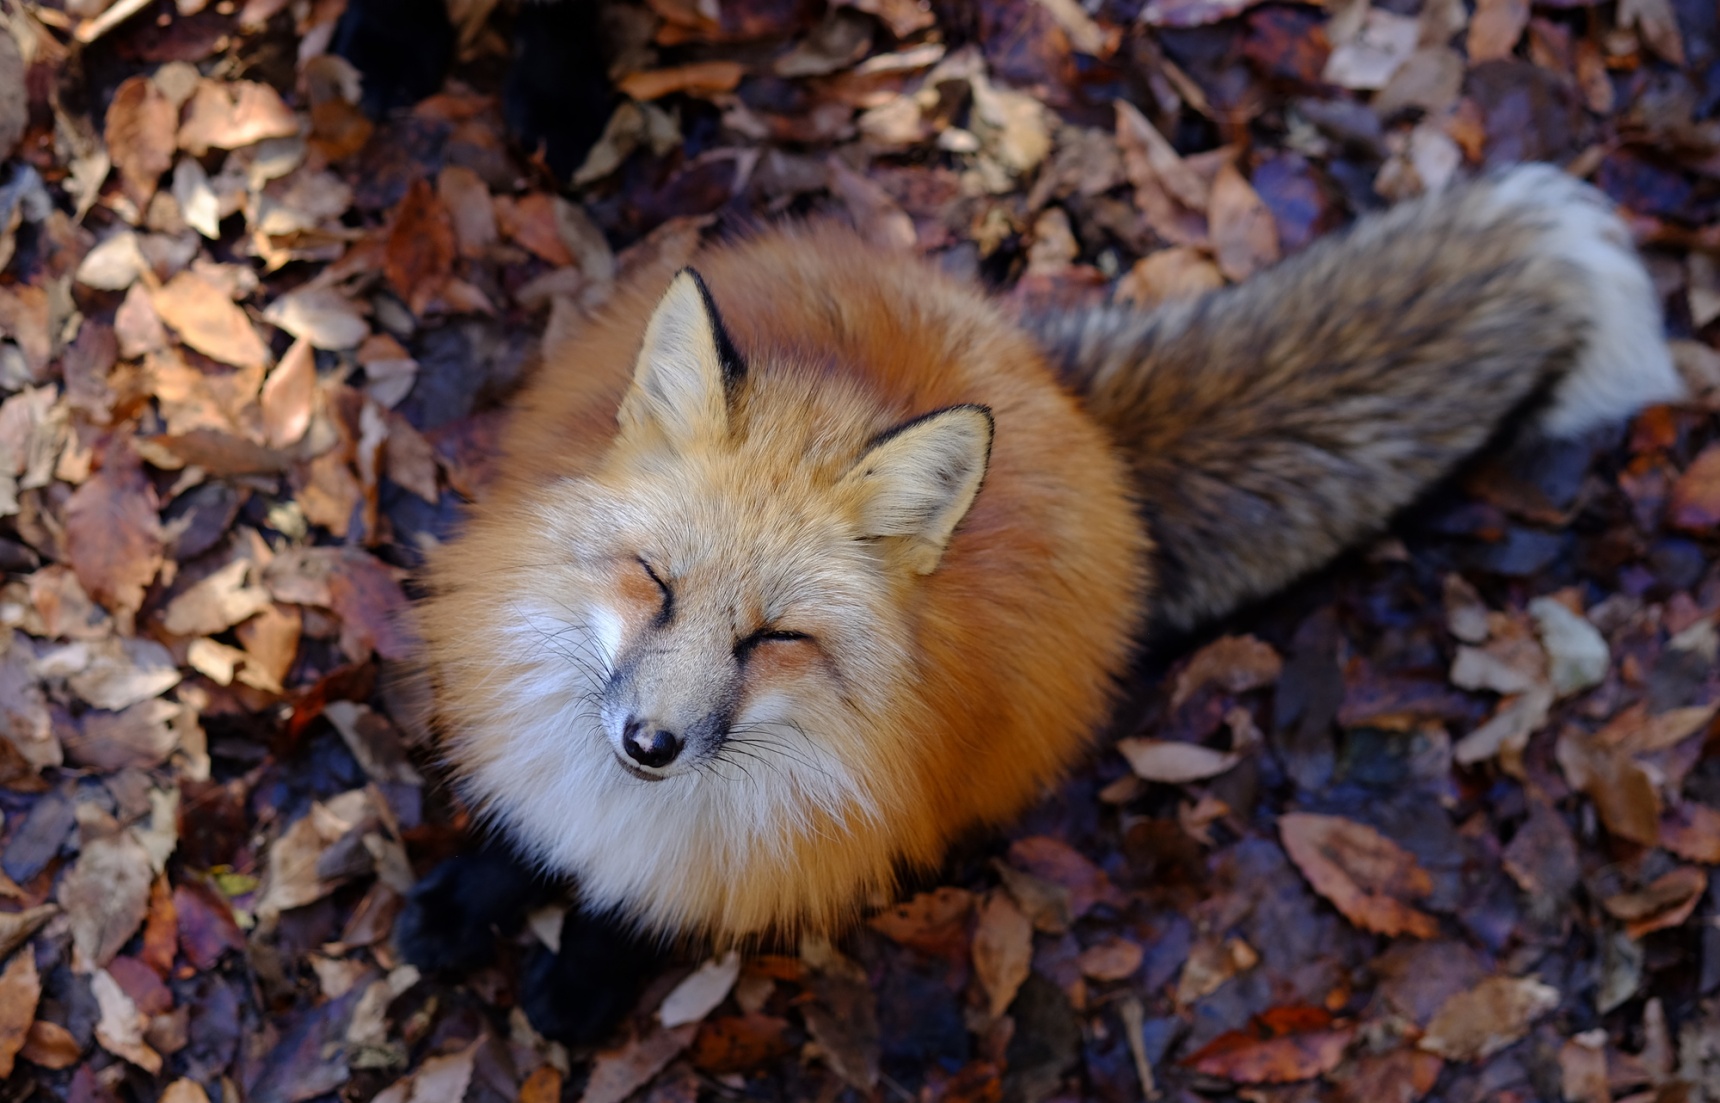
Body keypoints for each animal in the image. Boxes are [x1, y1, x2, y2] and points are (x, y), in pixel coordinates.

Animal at [402, 163, 1678, 1039]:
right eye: (654, 581)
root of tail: (1063, 391)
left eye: (775, 638)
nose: (650, 743)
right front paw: (468, 898)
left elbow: (640, 908)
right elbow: (524, 825)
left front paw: (578, 978)